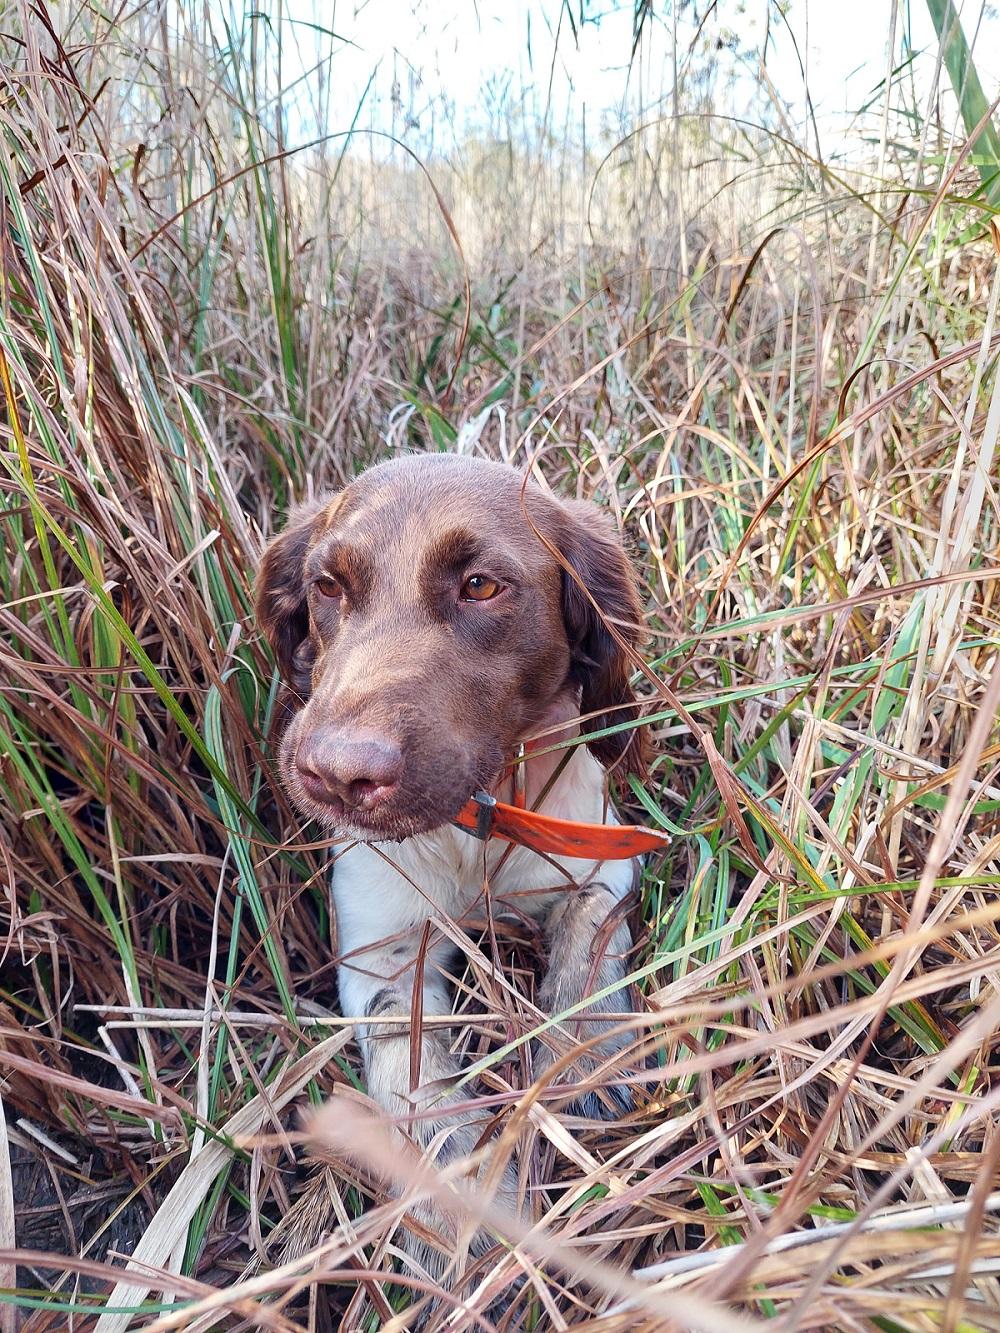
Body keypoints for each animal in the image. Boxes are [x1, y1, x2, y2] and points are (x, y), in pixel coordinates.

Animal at [256, 455, 650, 1301]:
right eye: (327, 585)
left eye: (481, 585)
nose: (339, 777)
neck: (473, 824)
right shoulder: (379, 954)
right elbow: (414, 1081)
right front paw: (459, 1218)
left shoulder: (600, 860)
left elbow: (586, 956)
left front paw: (581, 1064)